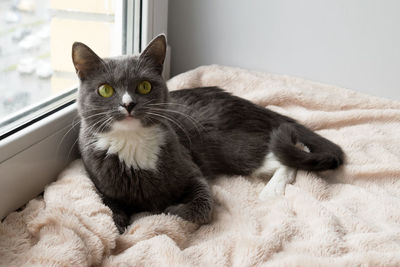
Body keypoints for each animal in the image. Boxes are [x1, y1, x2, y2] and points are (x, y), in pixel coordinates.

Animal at [72, 34, 344, 233]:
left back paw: (271, 191)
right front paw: (121, 224)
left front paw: (168, 209)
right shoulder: (101, 184)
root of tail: (245, 103)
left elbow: (201, 208)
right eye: (105, 90)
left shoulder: (190, 169)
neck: (132, 145)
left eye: (145, 86)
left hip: (233, 146)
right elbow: (110, 211)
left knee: (288, 156)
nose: (128, 104)